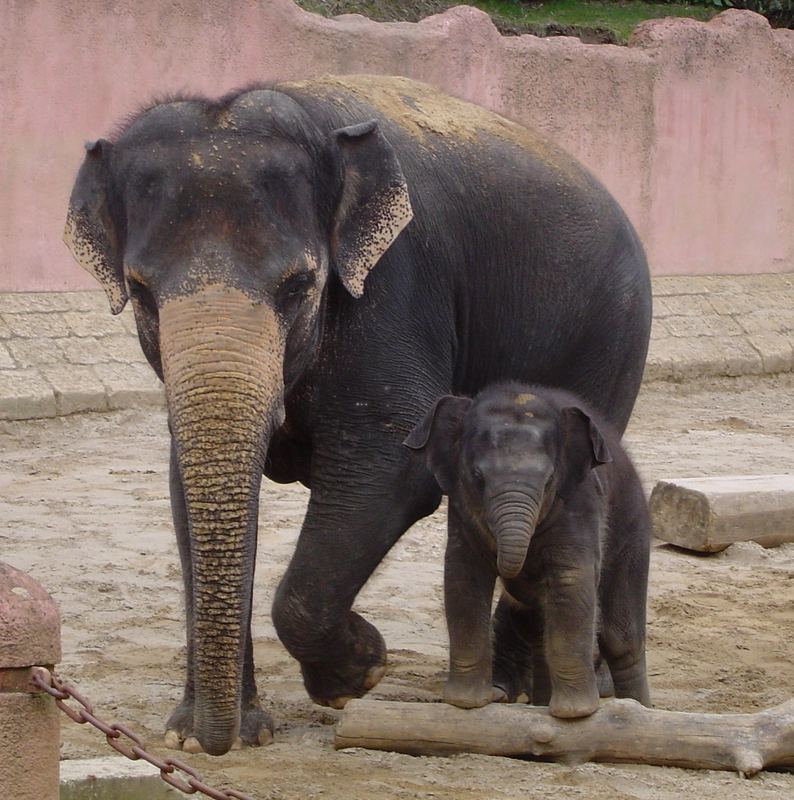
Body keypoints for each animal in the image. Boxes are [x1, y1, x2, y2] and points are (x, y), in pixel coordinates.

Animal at [402, 382, 648, 720]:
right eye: (477, 476)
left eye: (548, 480)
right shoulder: (462, 510)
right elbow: (463, 577)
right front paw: (467, 703)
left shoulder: (581, 500)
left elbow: (571, 580)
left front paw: (576, 714)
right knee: (541, 631)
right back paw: (543, 706)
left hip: (631, 527)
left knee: (621, 640)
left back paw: (640, 709)